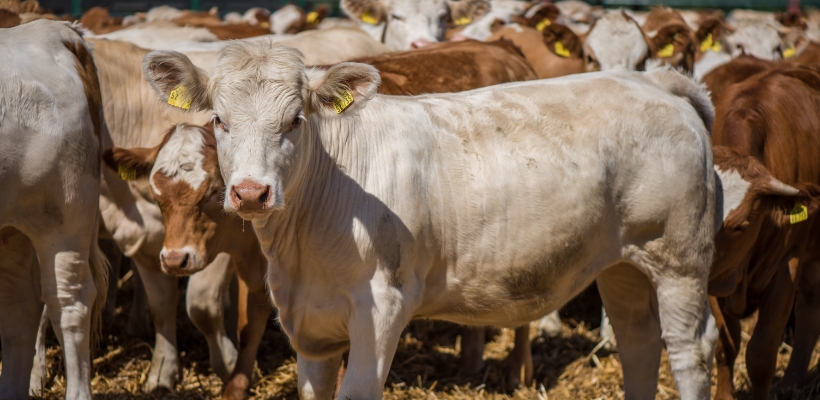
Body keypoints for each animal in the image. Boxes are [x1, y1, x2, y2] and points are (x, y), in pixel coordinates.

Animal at [708, 65, 820, 400]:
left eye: (741, 226)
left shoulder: (786, 268)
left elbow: (760, 355)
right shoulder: (715, 281)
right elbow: (726, 345)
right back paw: (794, 380)